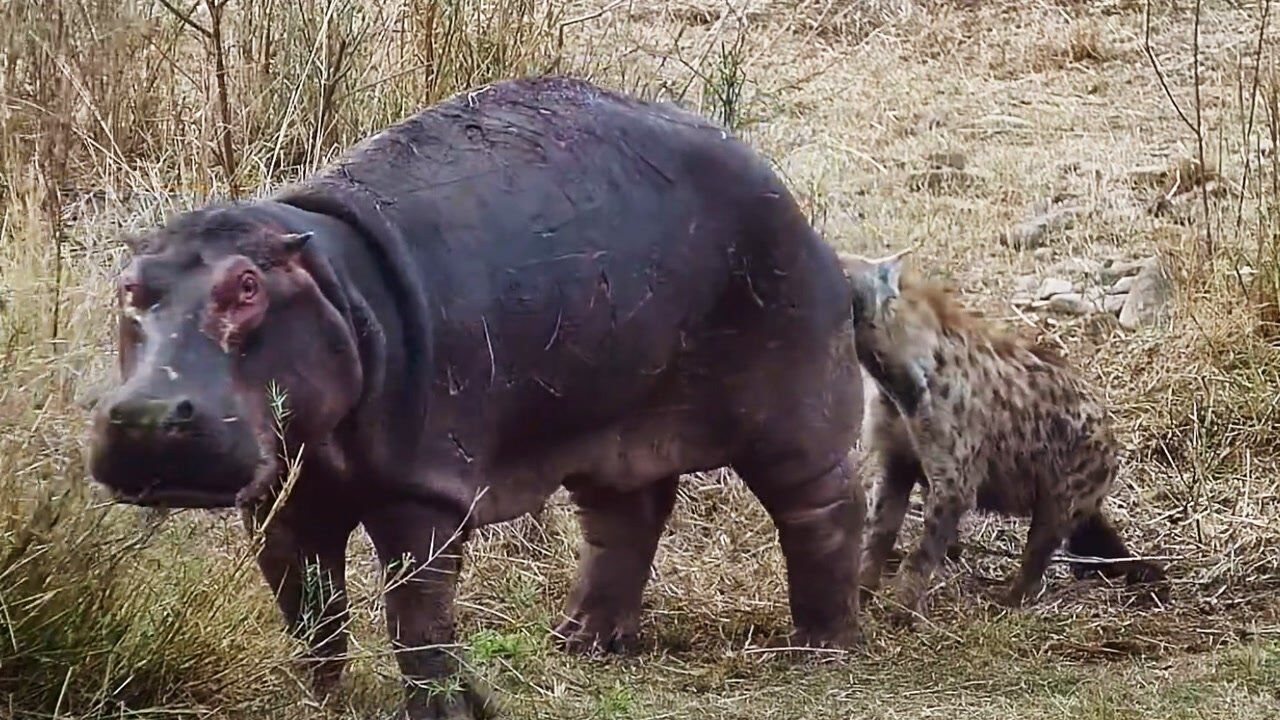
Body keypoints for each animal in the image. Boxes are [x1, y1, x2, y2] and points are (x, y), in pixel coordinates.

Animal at [87, 75, 870, 712]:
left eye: (247, 285)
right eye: (130, 285)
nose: (146, 415)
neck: (333, 284)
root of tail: (779, 185)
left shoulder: (423, 491)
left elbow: (417, 620)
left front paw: (440, 706)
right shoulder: (282, 492)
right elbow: (310, 610)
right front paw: (319, 699)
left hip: (789, 399)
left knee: (820, 504)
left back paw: (820, 646)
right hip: (607, 419)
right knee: (626, 516)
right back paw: (578, 639)